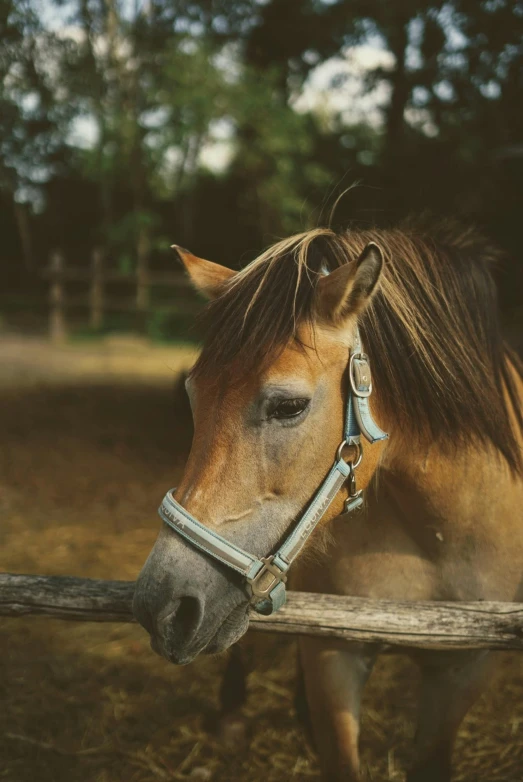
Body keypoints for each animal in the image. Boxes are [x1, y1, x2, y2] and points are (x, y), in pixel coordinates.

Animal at [134, 222, 523, 782]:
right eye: (192, 395)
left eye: (289, 405)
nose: (159, 604)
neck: (440, 532)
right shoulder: (333, 655)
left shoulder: (465, 669)